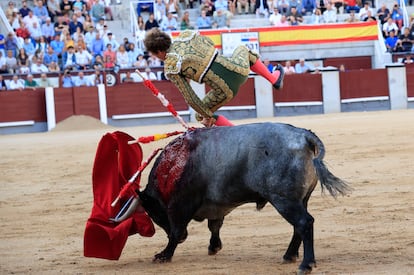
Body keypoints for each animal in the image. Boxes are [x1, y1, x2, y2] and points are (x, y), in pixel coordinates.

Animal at [138, 124, 350, 274]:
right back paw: (289, 256)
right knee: (299, 225)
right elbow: (214, 226)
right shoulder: (217, 204)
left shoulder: (181, 205)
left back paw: (306, 264)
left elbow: (175, 230)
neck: (171, 168)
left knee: (304, 222)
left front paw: (164, 255)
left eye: (153, 213)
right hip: (300, 199)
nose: (184, 238)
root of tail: (304, 136)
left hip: (283, 199)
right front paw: (214, 247)